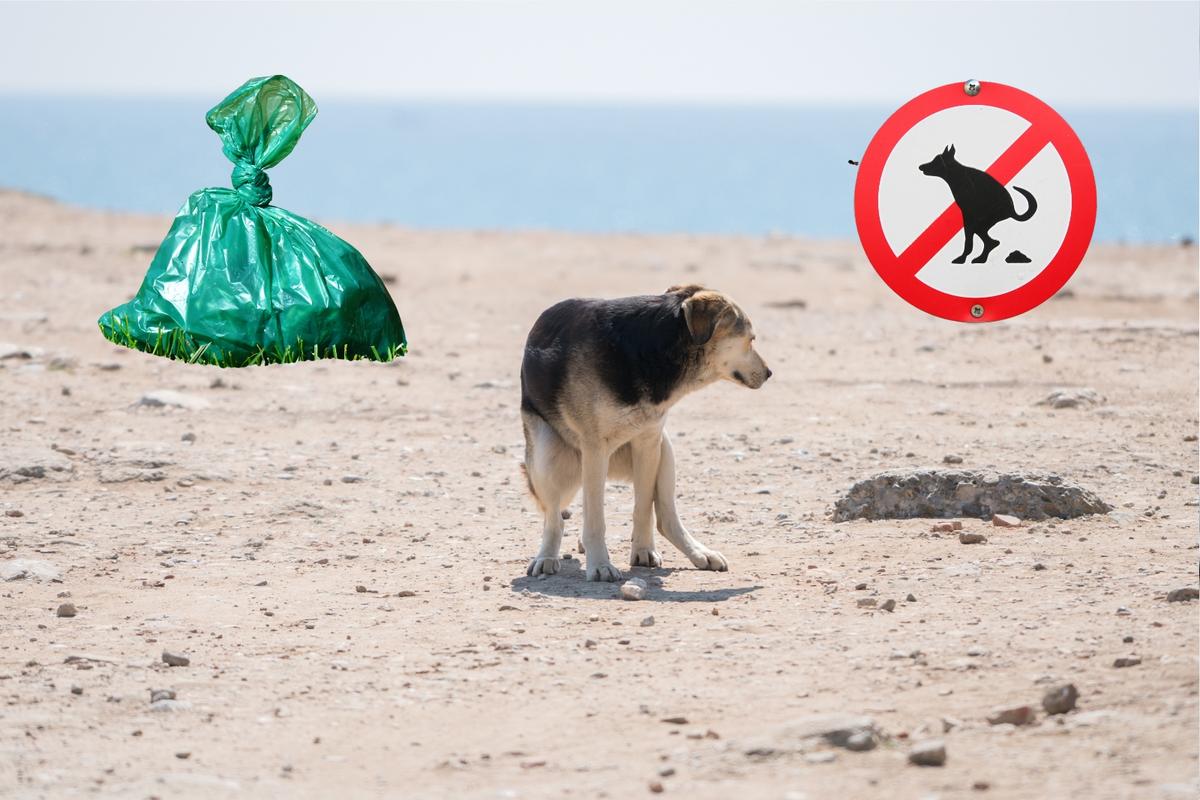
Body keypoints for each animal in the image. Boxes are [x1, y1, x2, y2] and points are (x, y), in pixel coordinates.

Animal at [520, 286, 772, 582]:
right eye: (751, 339)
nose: (769, 373)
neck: (653, 348)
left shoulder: (648, 442)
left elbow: (642, 508)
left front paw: (642, 551)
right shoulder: (594, 449)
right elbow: (595, 519)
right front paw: (600, 564)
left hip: (665, 449)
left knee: (665, 517)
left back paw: (699, 552)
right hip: (545, 457)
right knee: (554, 519)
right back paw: (546, 557)